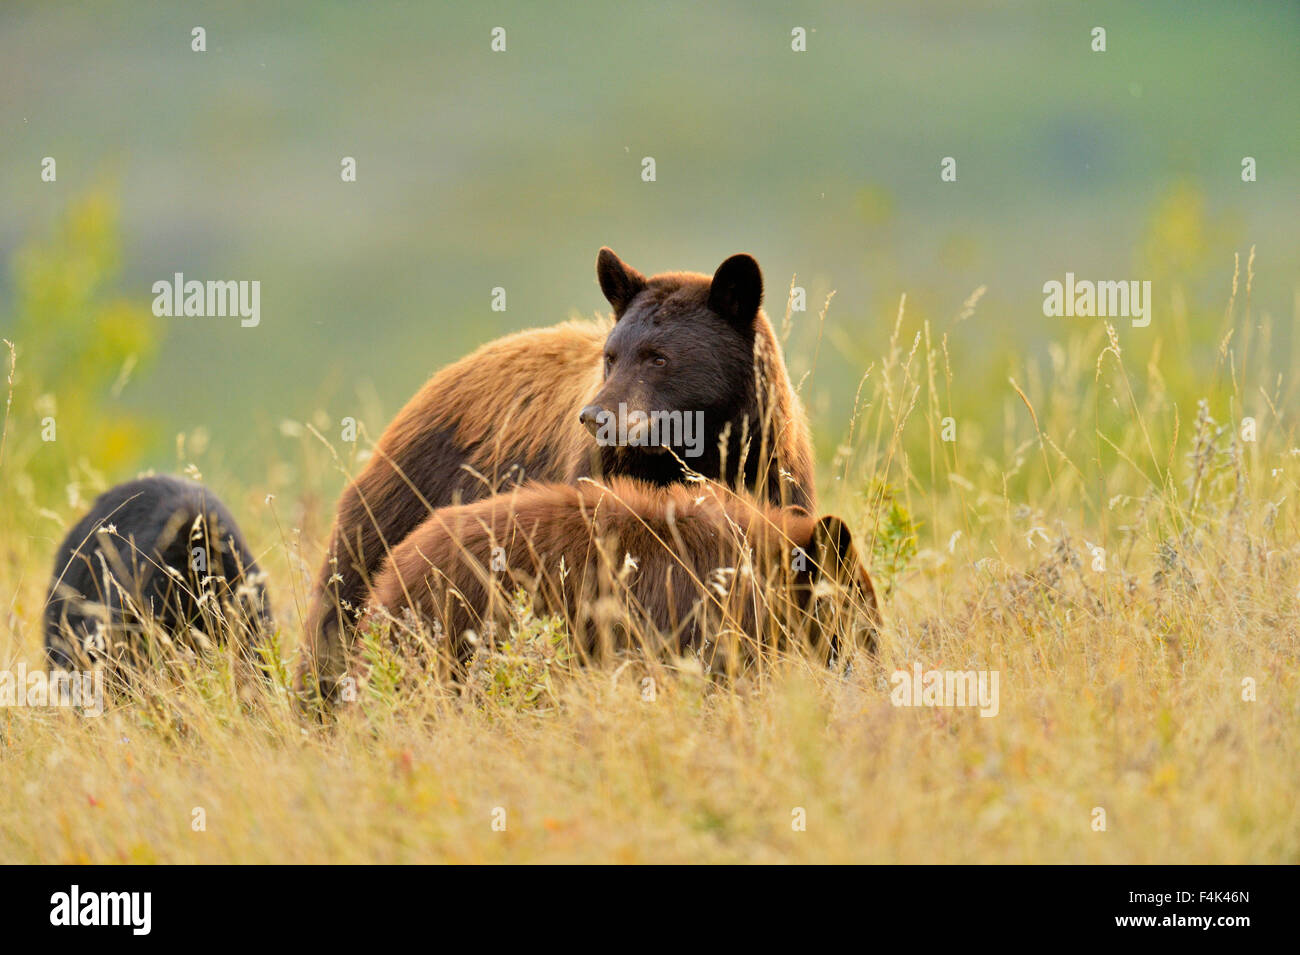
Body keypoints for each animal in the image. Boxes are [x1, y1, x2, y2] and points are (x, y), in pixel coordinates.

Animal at [302, 246, 811, 696]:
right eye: (611, 356)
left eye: (659, 357)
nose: (595, 417)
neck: (691, 452)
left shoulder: (771, 476)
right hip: (399, 507)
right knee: (338, 610)